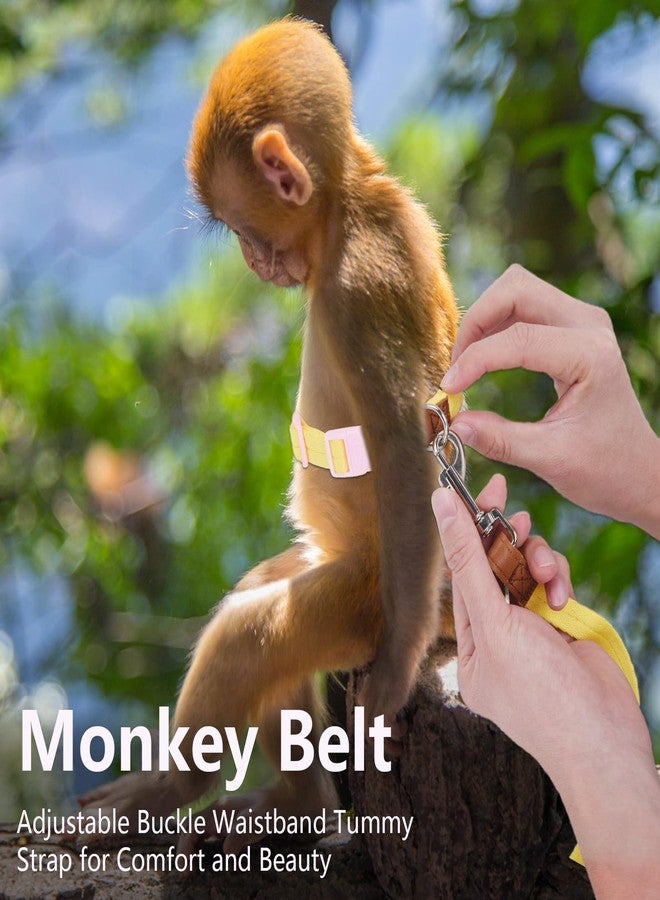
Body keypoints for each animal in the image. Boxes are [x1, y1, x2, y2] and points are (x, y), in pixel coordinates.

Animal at [79, 18, 459, 851]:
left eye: (240, 226)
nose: (254, 259)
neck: (352, 201)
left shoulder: (357, 290)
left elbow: (402, 445)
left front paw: (397, 671)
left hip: (362, 599)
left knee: (250, 631)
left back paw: (170, 789)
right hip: (333, 571)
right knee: (263, 594)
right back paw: (301, 805)